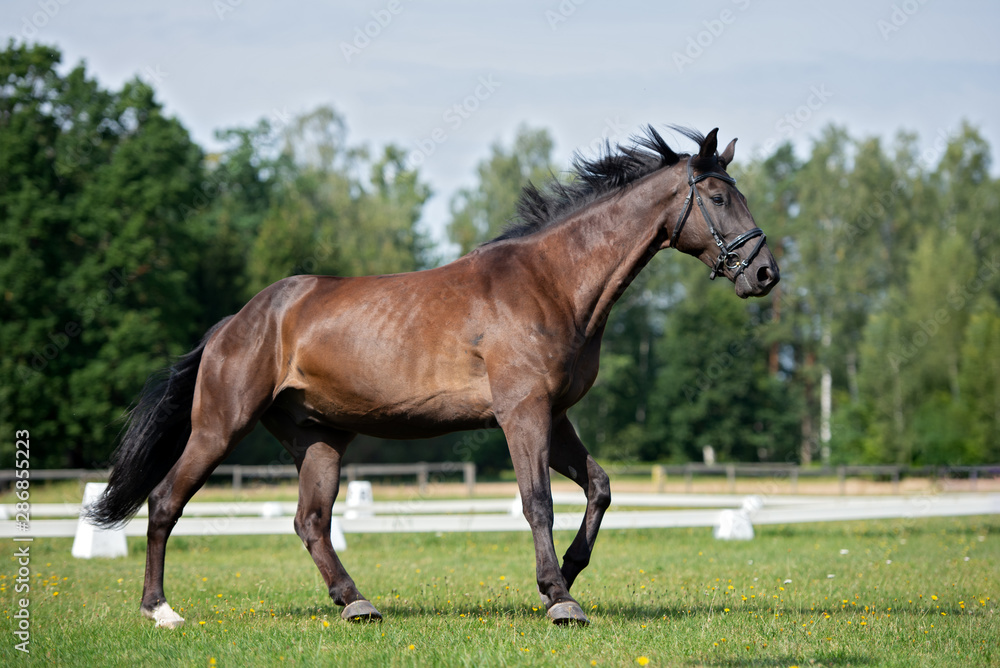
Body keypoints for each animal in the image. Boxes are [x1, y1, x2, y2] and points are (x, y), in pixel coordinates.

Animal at [92, 128, 780, 628]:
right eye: (720, 197)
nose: (764, 273)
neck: (553, 283)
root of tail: (235, 323)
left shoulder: (554, 415)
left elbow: (600, 488)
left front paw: (571, 571)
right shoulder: (522, 413)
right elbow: (537, 501)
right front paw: (559, 598)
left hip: (318, 440)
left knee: (311, 522)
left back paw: (357, 603)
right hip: (220, 427)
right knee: (166, 502)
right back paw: (161, 610)